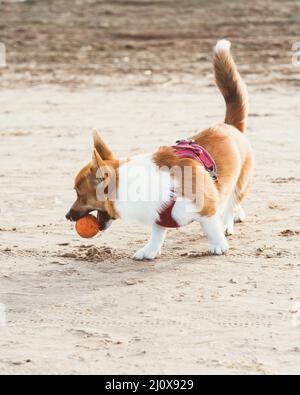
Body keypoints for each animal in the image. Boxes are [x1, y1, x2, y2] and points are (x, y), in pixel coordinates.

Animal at [65, 40, 253, 260]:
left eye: (79, 194)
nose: (67, 216)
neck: (131, 184)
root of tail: (229, 126)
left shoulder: (205, 207)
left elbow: (211, 226)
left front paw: (217, 244)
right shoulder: (159, 214)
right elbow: (157, 233)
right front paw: (150, 250)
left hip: (240, 184)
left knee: (231, 203)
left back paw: (227, 224)